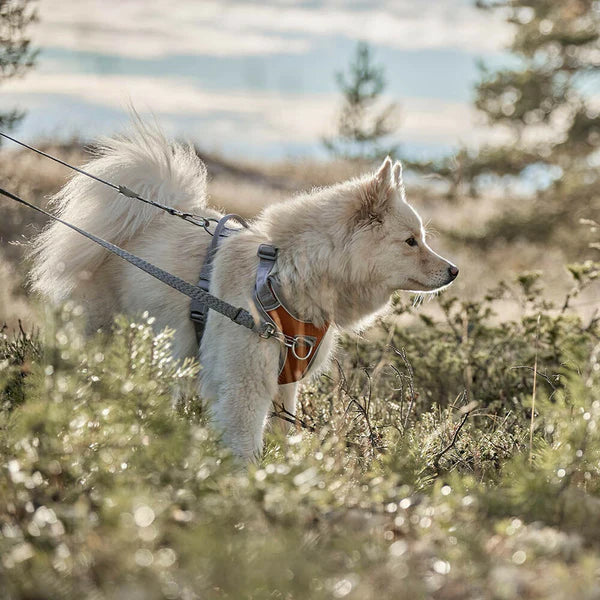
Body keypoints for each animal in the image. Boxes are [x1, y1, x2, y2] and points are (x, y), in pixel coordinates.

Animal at [29, 123, 460, 460]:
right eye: (410, 241)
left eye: (422, 238)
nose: (454, 270)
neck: (285, 274)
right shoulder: (244, 383)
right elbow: (244, 446)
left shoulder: (286, 382)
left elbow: (287, 436)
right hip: (98, 334)